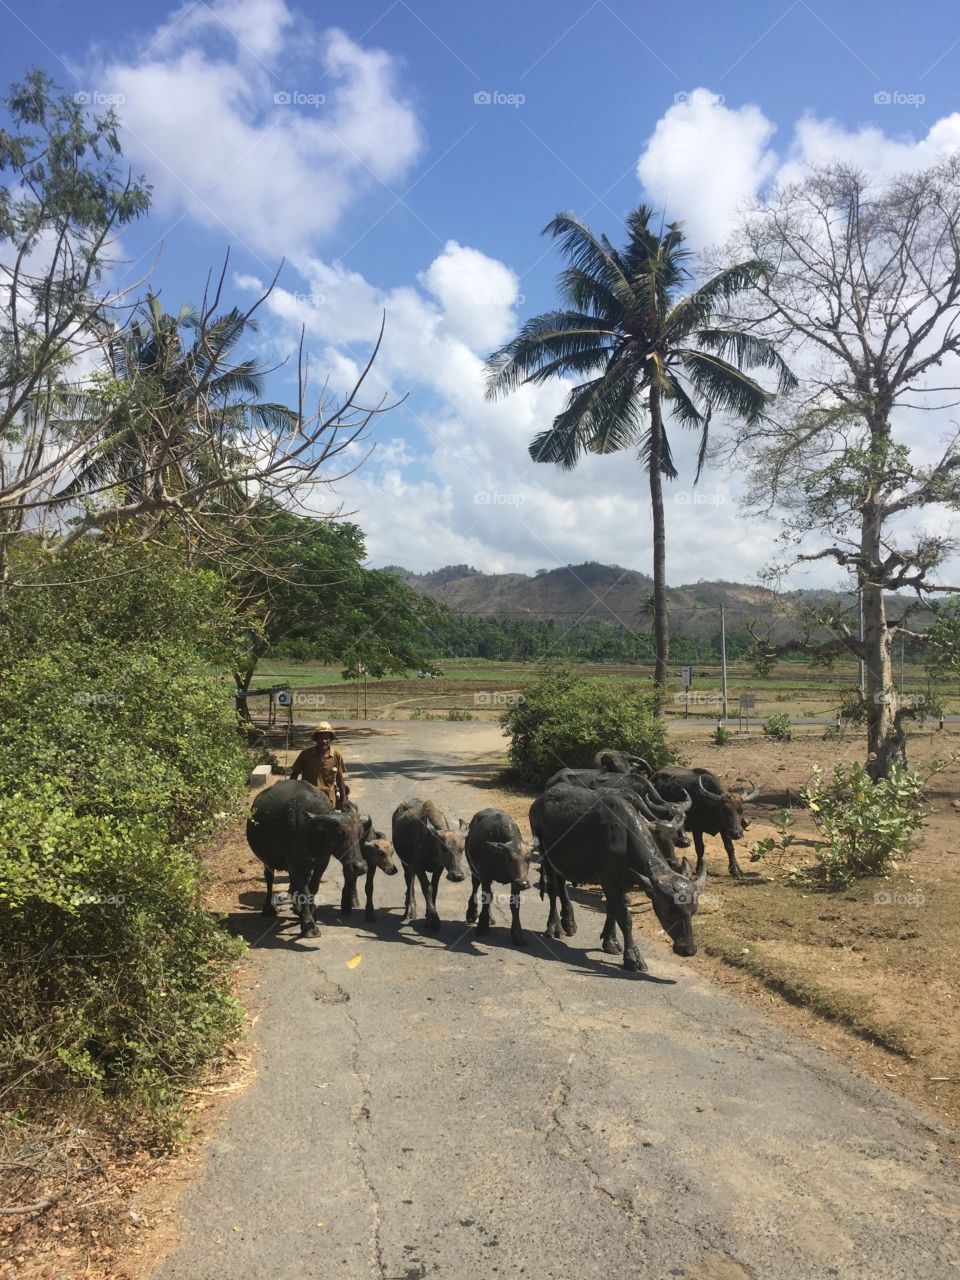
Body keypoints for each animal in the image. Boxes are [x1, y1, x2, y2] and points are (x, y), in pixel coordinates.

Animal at [245, 773, 371, 936]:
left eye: (360, 833)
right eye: (340, 833)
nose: (360, 867)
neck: (312, 833)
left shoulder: (322, 862)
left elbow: (313, 887)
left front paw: (311, 912)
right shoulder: (295, 862)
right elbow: (304, 890)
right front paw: (308, 924)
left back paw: (297, 907)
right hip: (267, 861)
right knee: (269, 878)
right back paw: (269, 908)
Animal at [391, 798, 465, 931]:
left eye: (462, 849)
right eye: (444, 848)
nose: (457, 876)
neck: (432, 843)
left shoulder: (439, 867)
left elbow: (434, 889)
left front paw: (429, 916)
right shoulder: (418, 865)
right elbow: (427, 888)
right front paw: (433, 920)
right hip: (405, 863)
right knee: (409, 882)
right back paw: (409, 909)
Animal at [463, 814, 537, 947]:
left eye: (528, 859)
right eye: (510, 859)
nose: (523, 884)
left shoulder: (514, 882)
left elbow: (514, 904)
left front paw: (517, 935)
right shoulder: (485, 874)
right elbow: (486, 897)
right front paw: (482, 927)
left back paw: (490, 918)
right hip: (474, 869)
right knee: (475, 887)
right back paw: (472, 913)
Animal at [529, 778, 701, 967]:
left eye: (693, 910)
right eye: (672, 909)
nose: (688, 949)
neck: (624, 838)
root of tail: (538, 802)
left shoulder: (624, 882)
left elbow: (612, 909)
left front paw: (610, 942)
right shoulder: (608, 880)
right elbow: (624, 916)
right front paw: (632, 957)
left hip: (561, 861)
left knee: (562, 887)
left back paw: (569, 922)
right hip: (545, 855)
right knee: (553, 891)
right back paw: (554, 927)